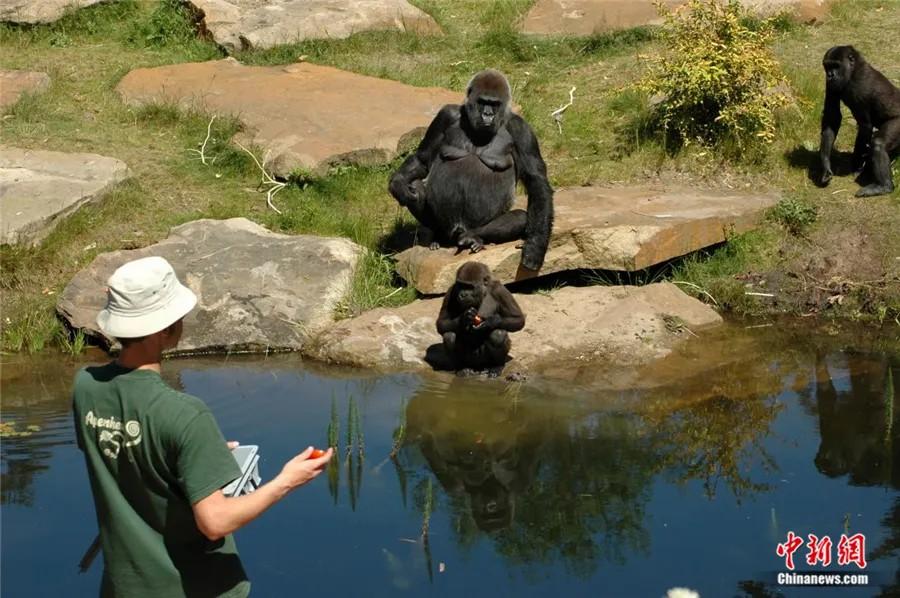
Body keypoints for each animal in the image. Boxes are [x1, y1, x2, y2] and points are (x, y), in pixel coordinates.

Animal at [388, 69, 556, 274]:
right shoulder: (446, 115)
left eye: (495, 104)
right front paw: (397, 183)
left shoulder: (521, 130)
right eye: (483, 102)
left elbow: (536, 180)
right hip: (445, 229)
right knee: (414, 187)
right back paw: (436, 236)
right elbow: (423, 159)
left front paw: (535, 247)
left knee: (519, 217)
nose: (487, 114)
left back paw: (473, 237)